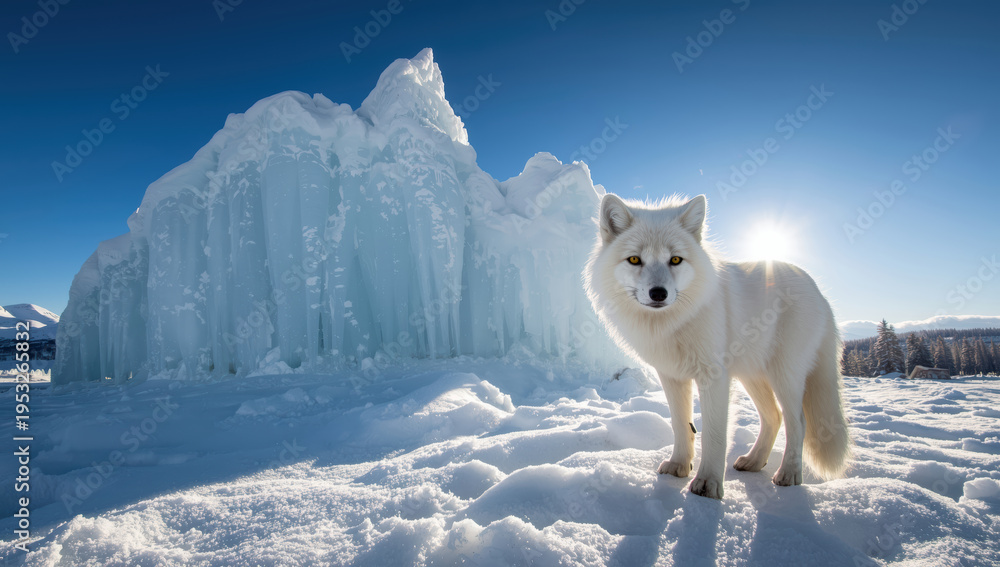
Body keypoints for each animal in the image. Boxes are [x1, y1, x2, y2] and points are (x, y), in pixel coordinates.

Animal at [583, 193, 851, 499]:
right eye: (635, 260)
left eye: (675, 259)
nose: (658, 293)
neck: (673, 324)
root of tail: (818, 290)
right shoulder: (672, 376)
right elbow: (681, 424)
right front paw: (679, 466)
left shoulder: (714, 377)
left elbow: (714, 434)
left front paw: (708, 483)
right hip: (752, 376)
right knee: (773, 417)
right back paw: (754, 461)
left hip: (784, 376)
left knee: (797, 421)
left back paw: (789, 474)